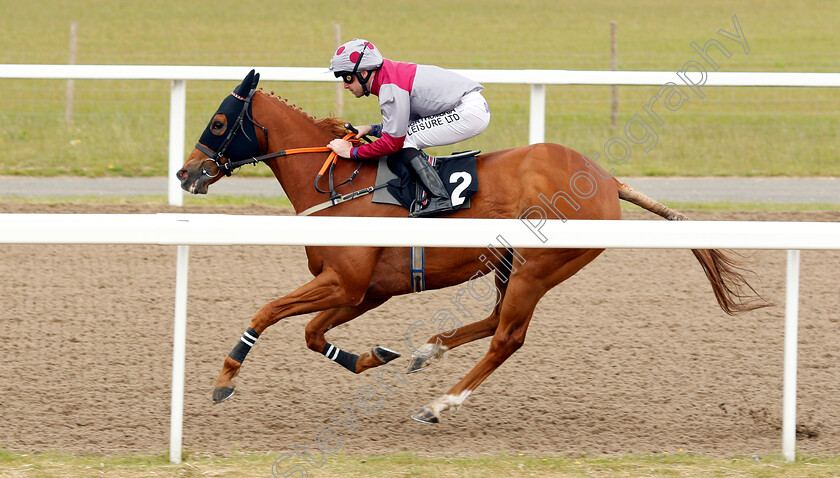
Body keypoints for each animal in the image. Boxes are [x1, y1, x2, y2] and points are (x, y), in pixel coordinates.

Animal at [177, 70, 768, 422]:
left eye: (219, 121)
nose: (186, 174)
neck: (339, 183)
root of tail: (605, 178)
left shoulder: (344, 282)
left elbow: (268, 311)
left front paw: (225, 378)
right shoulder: (364, 289)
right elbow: (310, 333)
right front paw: (372, 355)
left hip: (538, 267)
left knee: (508, 336)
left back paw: (442, 402)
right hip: (509, 263)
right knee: (491, 321)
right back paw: (426, 350)